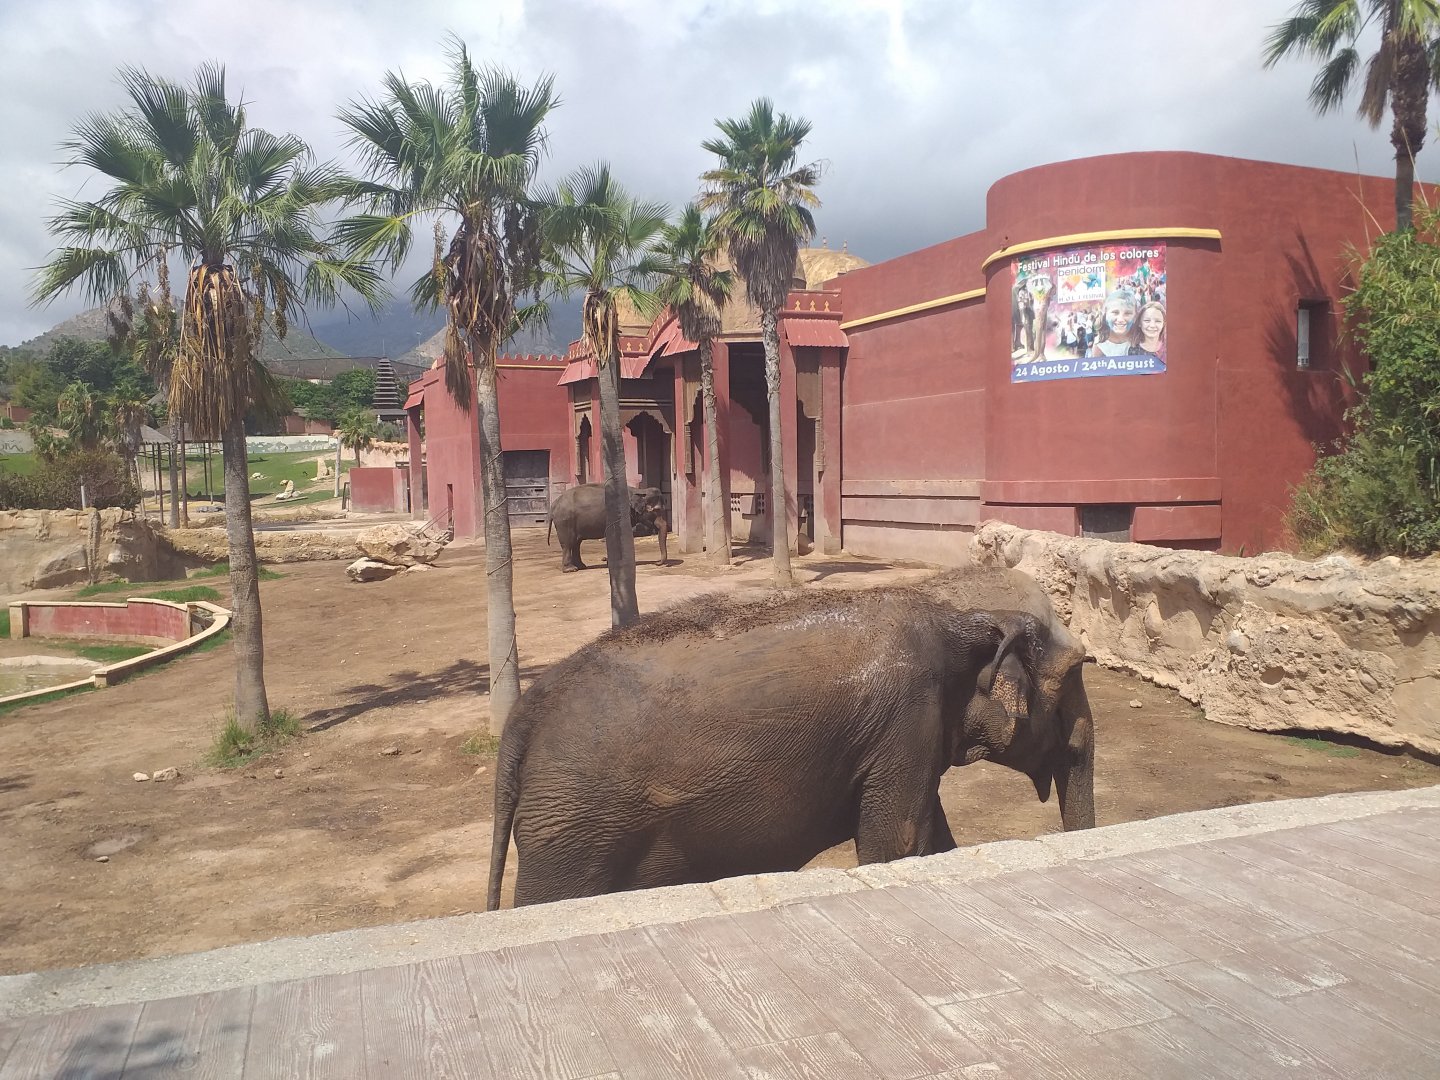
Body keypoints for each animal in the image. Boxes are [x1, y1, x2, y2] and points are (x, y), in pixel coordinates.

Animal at [486, 566, 1095, 909]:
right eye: (1073, 678)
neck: (958, 611)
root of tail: (523, 716)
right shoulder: (906, 721)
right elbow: (894, 847)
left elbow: (929, 840)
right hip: (571, 830)